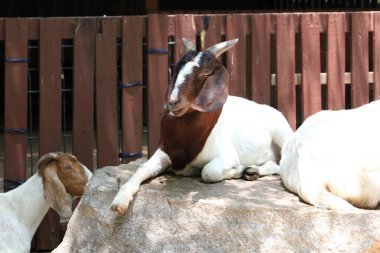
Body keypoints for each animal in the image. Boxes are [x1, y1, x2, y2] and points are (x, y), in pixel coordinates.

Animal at [110, 37, 294, 213]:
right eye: (177, 68)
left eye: (205, 73)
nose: (173, 101)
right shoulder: (165, 153)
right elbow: (142, 168)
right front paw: (120, 201)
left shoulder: (226, 156)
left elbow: (208, 172)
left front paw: (238, 169)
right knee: (274, 162)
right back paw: (252, 171)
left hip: (283, 135)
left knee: (283, 164)